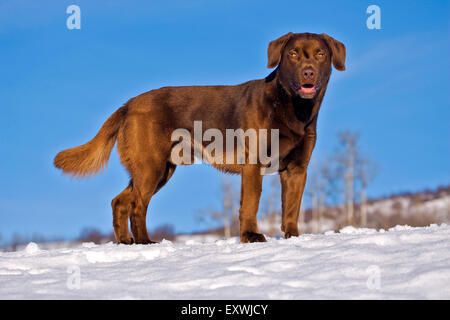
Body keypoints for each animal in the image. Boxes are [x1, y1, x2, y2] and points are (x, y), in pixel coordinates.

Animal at [54, 31, 346, 242]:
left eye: (320, 54)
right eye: (293, 54)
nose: (308, 71)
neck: (292, 108)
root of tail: (129, 104)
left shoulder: (297, 169)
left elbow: (292, 208)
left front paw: (294, 238)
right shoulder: (253, 164)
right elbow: (250, 205)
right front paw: (251, 236)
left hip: (159, 168)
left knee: (120, 201)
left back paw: (126, 243)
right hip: (151, 165)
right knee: (137, 203)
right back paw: (145, 241)